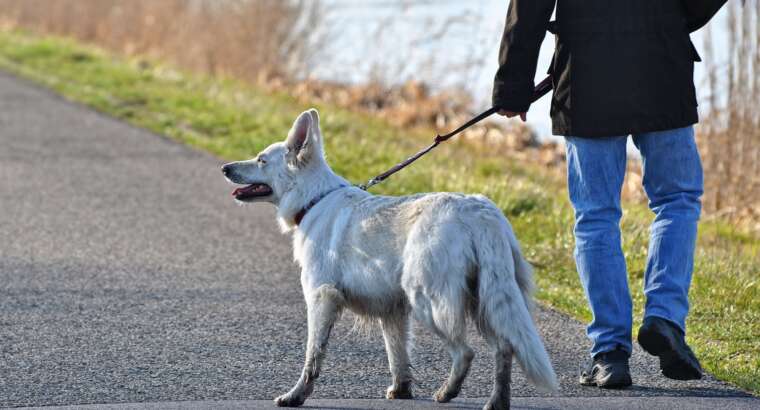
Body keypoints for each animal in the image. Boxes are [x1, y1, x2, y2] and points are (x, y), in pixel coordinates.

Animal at [220, 109, 560, 410]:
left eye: (261, 160)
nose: (224, 168)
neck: (314, 199)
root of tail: (479, 212)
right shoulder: (392, 311)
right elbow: (398, 355)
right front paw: (401, 390)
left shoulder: (321, 298)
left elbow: (313, 356)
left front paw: (296, 396)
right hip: (485, 300)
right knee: (505, 348)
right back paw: (496, 401)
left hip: (429, 301)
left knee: (466, 352)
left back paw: (447, 392)